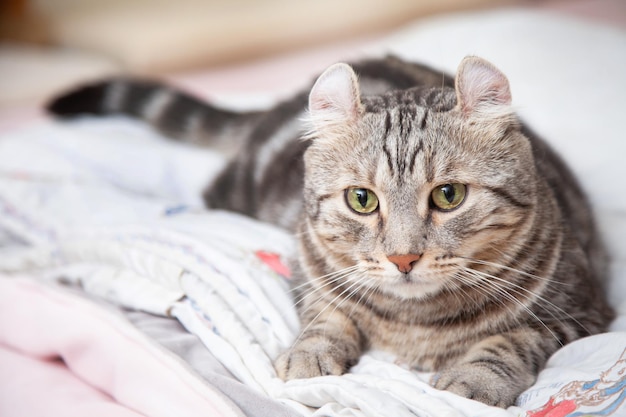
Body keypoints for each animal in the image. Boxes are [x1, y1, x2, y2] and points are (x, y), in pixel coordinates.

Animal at [46, 55, 612, 406]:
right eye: (362, 200)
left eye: (448, 195)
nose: (403, 258)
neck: (414, 324)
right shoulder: (309, 267)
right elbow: (327, 314)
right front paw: (309, 354)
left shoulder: (581, 312)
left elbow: (510, 340)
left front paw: (472, 379)